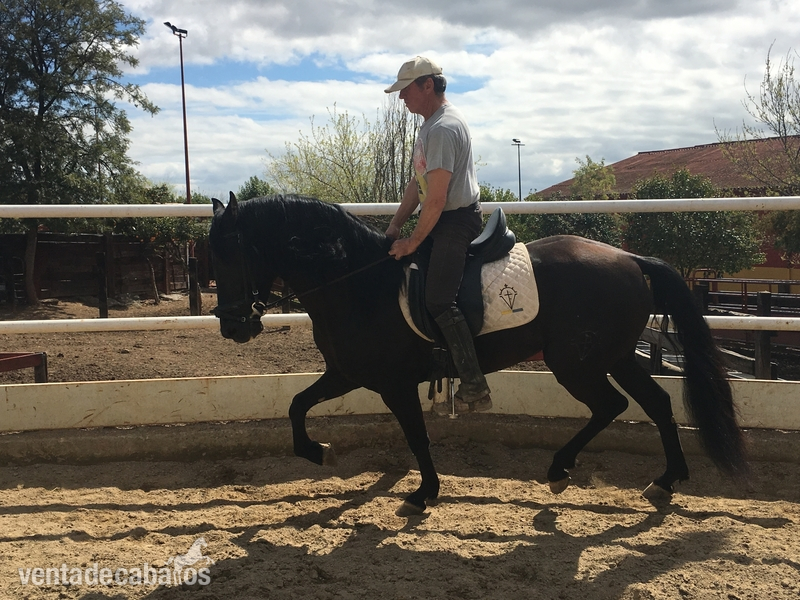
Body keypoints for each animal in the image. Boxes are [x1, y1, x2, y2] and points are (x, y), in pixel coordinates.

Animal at [209, 192, 748, 517]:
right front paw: (316, 450)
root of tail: (631, 258)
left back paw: (562, 471)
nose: (233, 326)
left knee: (612, 405)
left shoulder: (393, 383)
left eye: (229, 253)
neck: (358, 281)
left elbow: (417, 437)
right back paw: (664, 481)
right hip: (614, 356)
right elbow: (296, 404)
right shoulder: (346, 372)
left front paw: (422, 494)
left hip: (576, 364)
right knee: (656, 404)